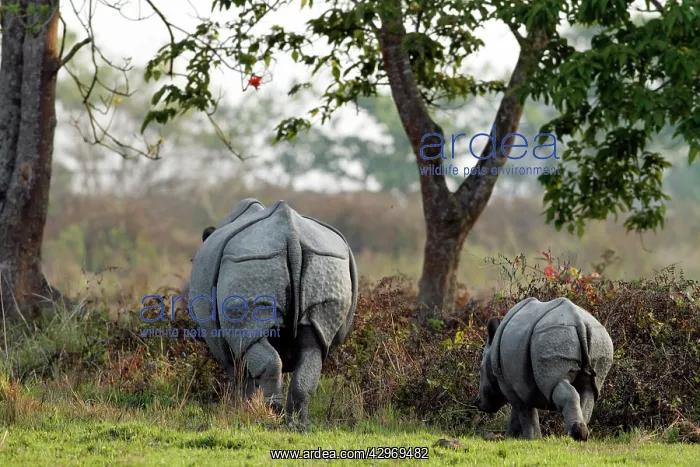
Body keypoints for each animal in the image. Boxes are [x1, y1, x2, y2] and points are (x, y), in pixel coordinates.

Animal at [187, 198, 357, 423]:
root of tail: (291, 234)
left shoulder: (227, 343)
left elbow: (240, 372)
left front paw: (240, 408)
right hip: (326, 262)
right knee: (313, 345)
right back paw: (297, 422)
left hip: (250, 263)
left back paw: (272, 416)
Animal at [475, 297, 614, 441]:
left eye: (480, 371)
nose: (477, 402)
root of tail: (579, 321)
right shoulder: (520, 384)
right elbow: (519, 411)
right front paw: (516, 437)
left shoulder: (507, 383)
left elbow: (522, 410)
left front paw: (527, 438)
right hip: (598, 338)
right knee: (589, 389)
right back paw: (578, 436)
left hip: (552, 335)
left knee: (557, 384)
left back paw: (573, 435)